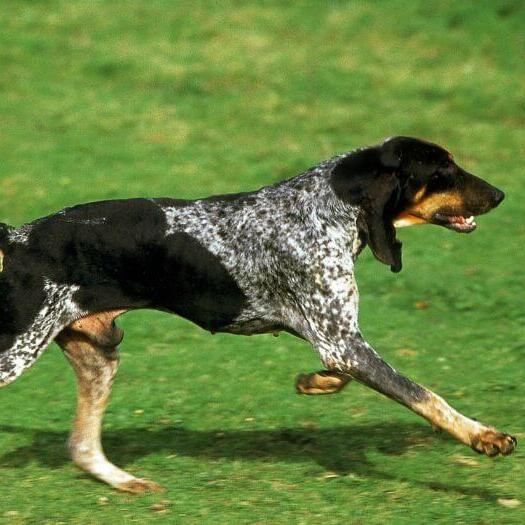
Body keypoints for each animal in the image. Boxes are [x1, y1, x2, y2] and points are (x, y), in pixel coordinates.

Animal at [0, 136, 516, 492]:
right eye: (443, 170)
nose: (500, 194)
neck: (327, 207)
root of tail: (18, 238)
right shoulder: (343, 342)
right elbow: (425, 396)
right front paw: (484, 436)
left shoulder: (338, 341)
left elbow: (341, 374)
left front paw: (314, 383)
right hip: (17, 353)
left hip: (100, 358)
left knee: (82, 447)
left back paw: (126, 482)